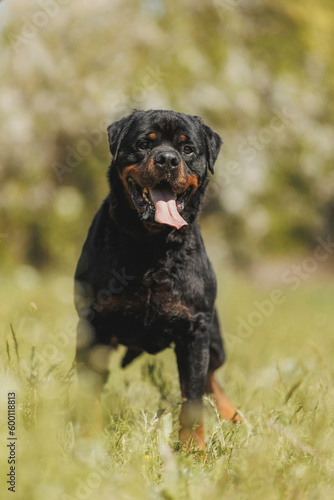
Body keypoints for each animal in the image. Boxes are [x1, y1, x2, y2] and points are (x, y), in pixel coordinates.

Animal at [74, 110, 239, 450]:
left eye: (187, 149)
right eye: (143, 144)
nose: (167, 159)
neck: (151, 246)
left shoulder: (195, 329)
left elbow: (192, 397)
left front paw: (194, 451)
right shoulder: (92, 325)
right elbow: (89, 390)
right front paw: (88, 442)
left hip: (214, 340)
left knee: (210, 378)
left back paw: (233, 416)